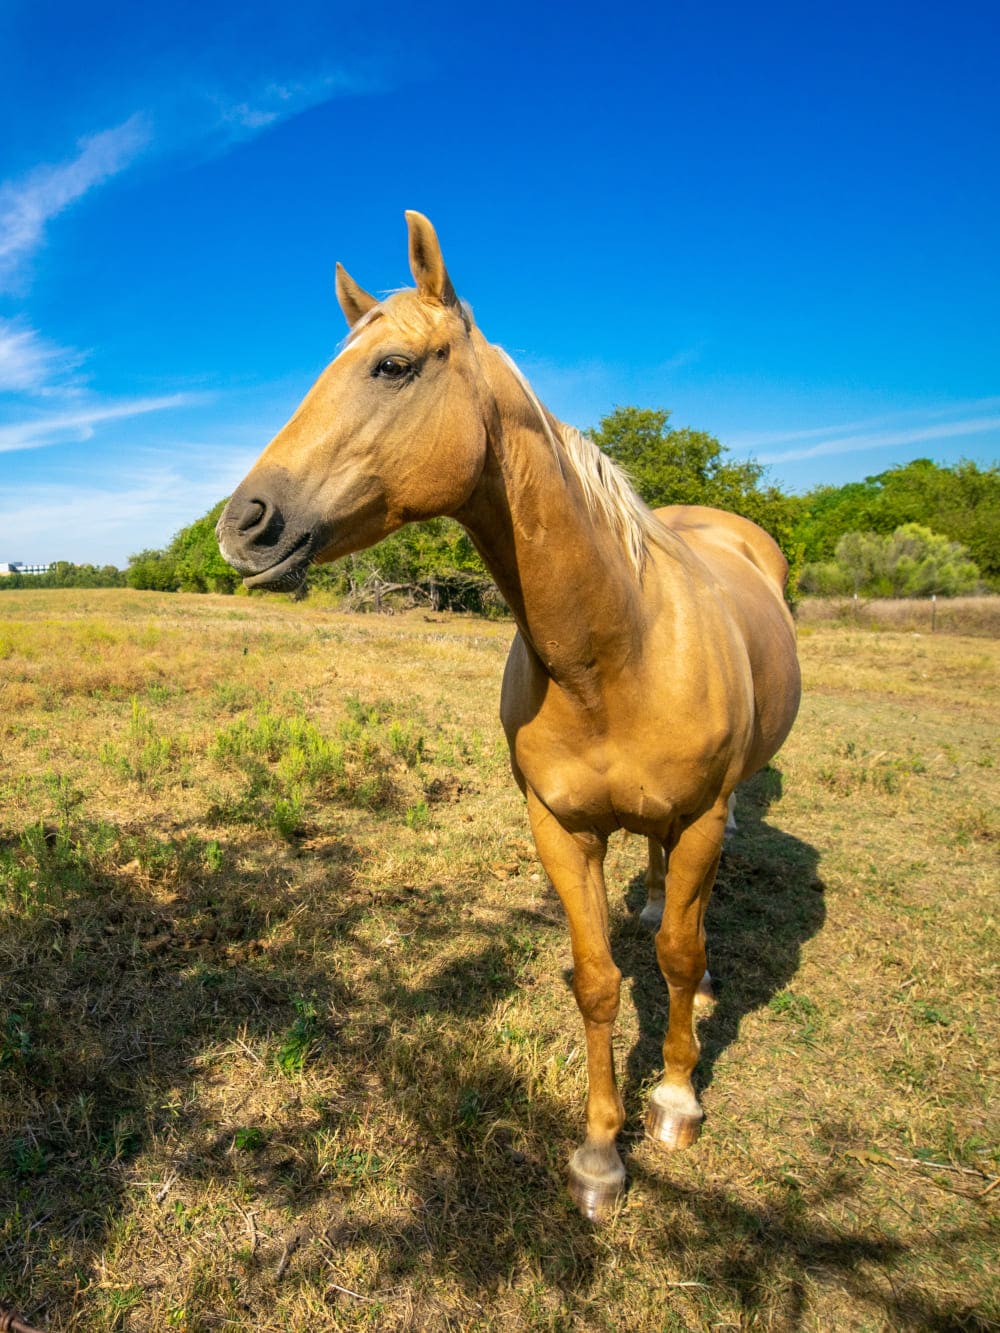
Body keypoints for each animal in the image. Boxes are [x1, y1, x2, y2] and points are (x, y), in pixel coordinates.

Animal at [217, 212, 801, 1220]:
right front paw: (600, 1152)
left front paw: (675, 1097)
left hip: (713, 813)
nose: (244, 523)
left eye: (393, 367)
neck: (616, 652)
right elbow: (599, 977)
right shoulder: (559, 827)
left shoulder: (696, 819)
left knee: (692, 926)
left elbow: (678, 959)